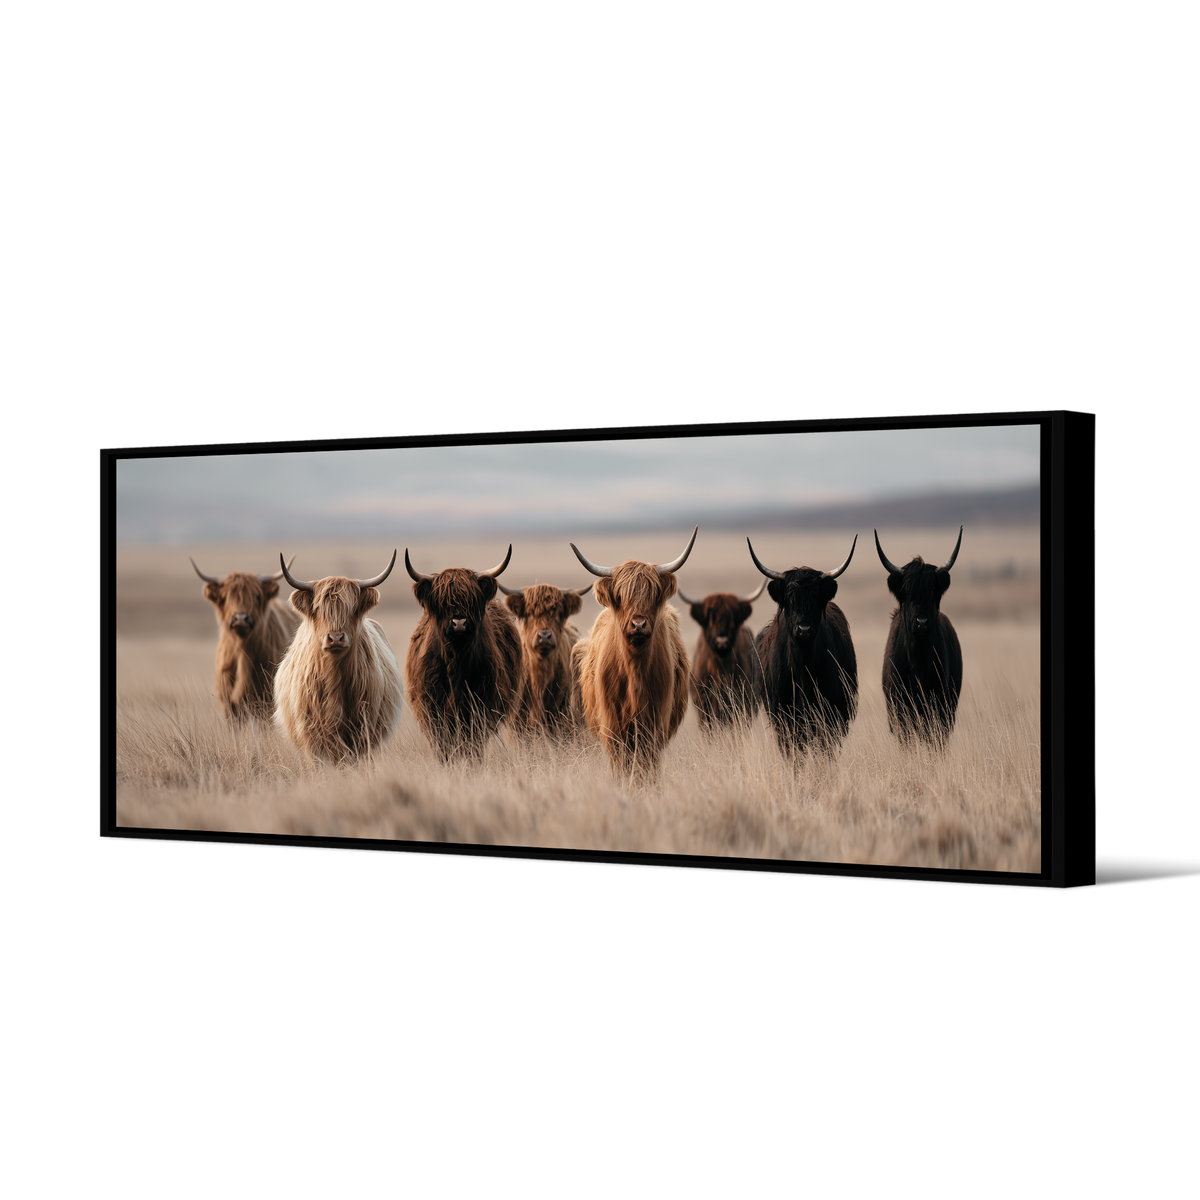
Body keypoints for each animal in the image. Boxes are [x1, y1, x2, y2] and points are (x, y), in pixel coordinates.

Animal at [404, 545, 524, 758]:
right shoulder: (431, 707)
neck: (456, 662)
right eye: (442, 602)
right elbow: (443, 745)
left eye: (471, 599)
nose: (459, 623)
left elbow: (472, 744)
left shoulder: (481, 706)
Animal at [570, 528, 696, 774]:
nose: (638, 624)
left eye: (652, 594)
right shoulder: (613, 725)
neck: (634, 671)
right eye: (620, 596)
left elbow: (647, 767)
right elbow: (621, 765)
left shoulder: (654, 725)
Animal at [748, 535, 859, 756]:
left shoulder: (829, 717)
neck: (802, 667)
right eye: (790, 599)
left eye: (816, 599)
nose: (804, 629)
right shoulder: (784, 719)